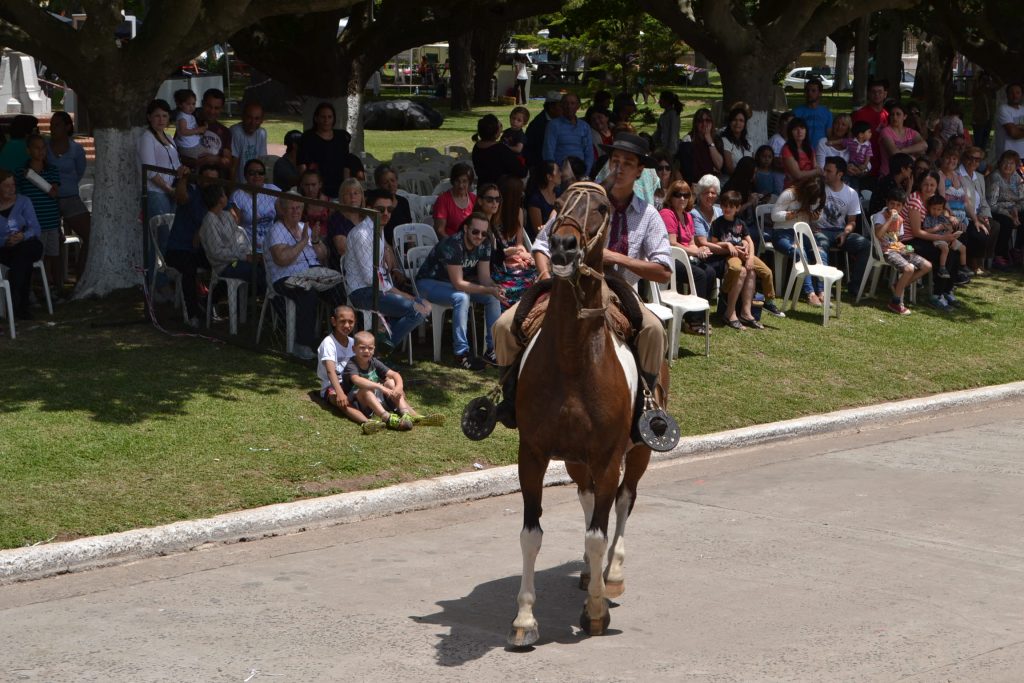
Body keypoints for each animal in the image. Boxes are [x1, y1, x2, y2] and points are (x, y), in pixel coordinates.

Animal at [507, 181, 659, 647]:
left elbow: (598, 534)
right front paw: (525, 619)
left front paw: (595, 612)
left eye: (603, 207)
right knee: (590, 498)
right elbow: (531, 535)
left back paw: (612, 573)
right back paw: (592, 576)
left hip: (638, 452)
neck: (574, 359)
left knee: (624, 502)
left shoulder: (609, 456)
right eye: (559, 203)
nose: (563, 245)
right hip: (576, 460)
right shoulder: (533, 454)